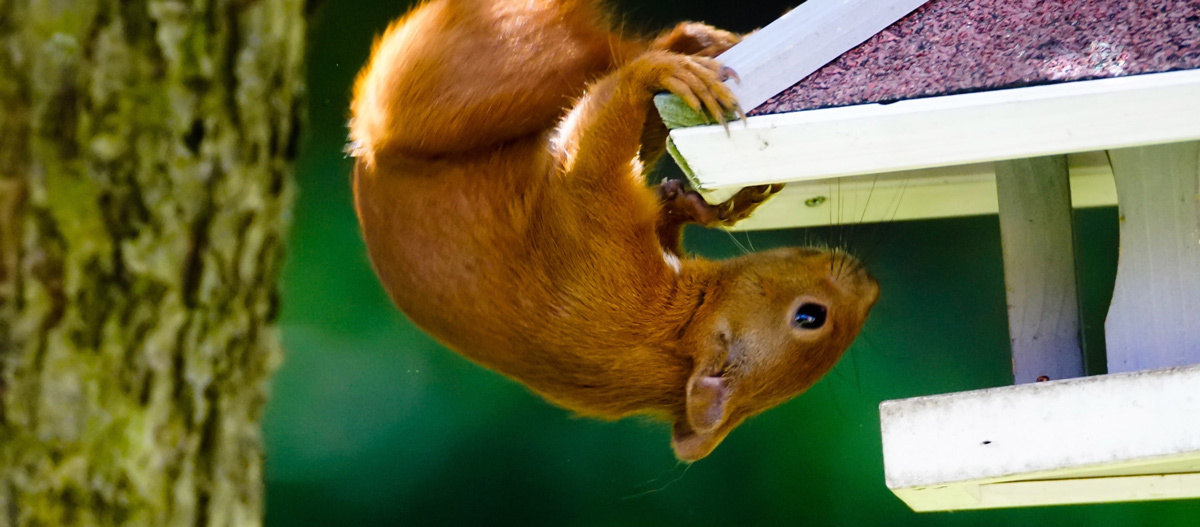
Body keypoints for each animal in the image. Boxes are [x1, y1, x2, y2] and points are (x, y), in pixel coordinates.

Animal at [349, 0, 880, 461]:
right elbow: (589, 161)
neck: (676, 332)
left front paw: (704, 202)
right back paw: (693, 49)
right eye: (810, 316)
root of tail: (371, 164)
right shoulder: (605, 251)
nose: (869, 283)